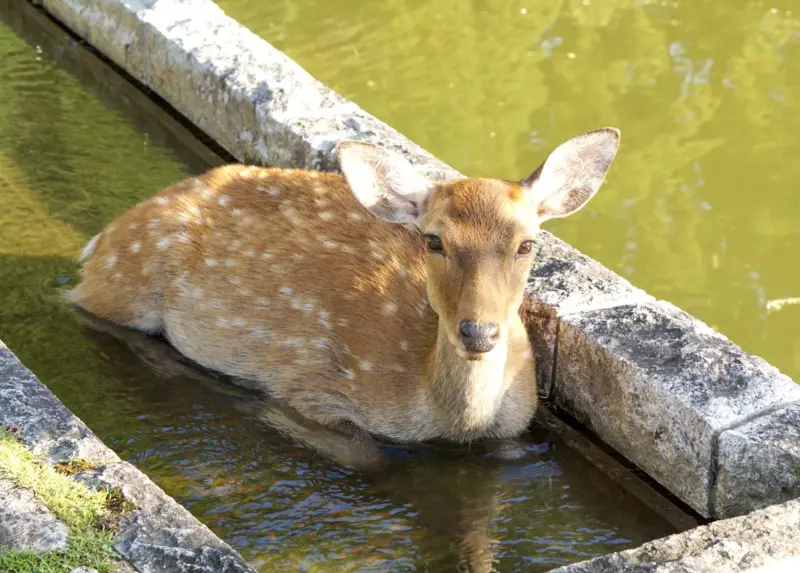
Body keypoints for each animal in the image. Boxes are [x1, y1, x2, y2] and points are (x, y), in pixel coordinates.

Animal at [67, 128, 620, 452]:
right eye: (434, 240)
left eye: (527, 243)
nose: (478, 332)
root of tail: (102, 238)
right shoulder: (307, 385)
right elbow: (366, 454)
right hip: (122, 284)